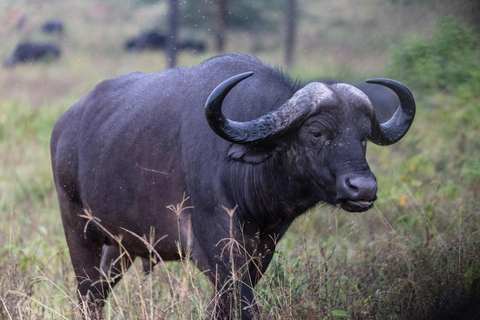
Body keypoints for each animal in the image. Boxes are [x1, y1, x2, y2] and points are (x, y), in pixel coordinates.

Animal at [50, 52, 414, 318]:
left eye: (363, 136)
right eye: (316, 132)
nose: (363, 188)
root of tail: (64, 126)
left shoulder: (263, 248)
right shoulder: (217, 247)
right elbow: (241, 304)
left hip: (120, 244)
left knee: (100, 289)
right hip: (78, 227)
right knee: (87, 291)